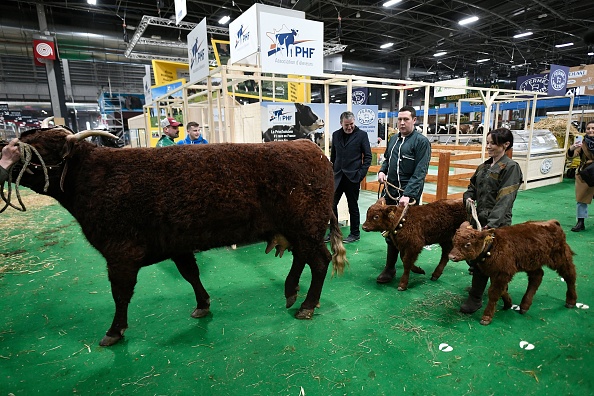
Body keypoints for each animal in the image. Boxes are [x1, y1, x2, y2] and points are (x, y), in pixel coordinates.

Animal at [5, 127, 346, 346]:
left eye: (37, 150)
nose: (3, 162)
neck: (93, 178)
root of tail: (311, 148)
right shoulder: (176, 245)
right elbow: (190, 274)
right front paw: (203, 305)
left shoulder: (120, 253)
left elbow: (120, 294)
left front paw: (114, 331)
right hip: (298, 229)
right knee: (302, 258)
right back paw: (292, 292)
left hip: (306, 227)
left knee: (320, 261)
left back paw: (306, 305)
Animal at [446, 220, 576, 324]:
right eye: (453, 240)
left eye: (468, 244)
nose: (451, 256)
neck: (492, 246)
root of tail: (553, 222)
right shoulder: (496, 273)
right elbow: (502, 289)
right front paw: (508, 303)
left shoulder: (502, 273)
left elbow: (494, 292)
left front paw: (486, 317)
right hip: (532, 263)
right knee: (537, 276)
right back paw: (524, 306)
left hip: (560, 257)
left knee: (570, 274)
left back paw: (571, 301)